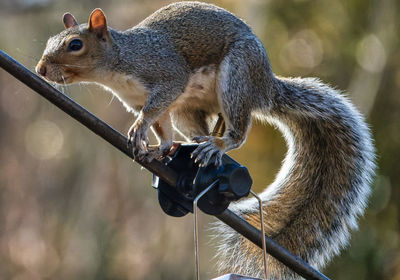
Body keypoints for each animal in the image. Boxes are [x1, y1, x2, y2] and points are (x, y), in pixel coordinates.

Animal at [36, 1, 376, 278]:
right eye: (50, 41)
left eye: (75, 44)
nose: (40, 69)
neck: (118, 65)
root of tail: (265, 86)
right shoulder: (152, 102)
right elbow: (161, 126)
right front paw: (157, 148)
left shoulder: (167, 75)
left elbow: (152, 112)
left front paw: (139, 129)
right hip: (188, 110)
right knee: (207, 125)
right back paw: (190, 145)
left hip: (236, 78)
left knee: (237, 129)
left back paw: (217, 146)